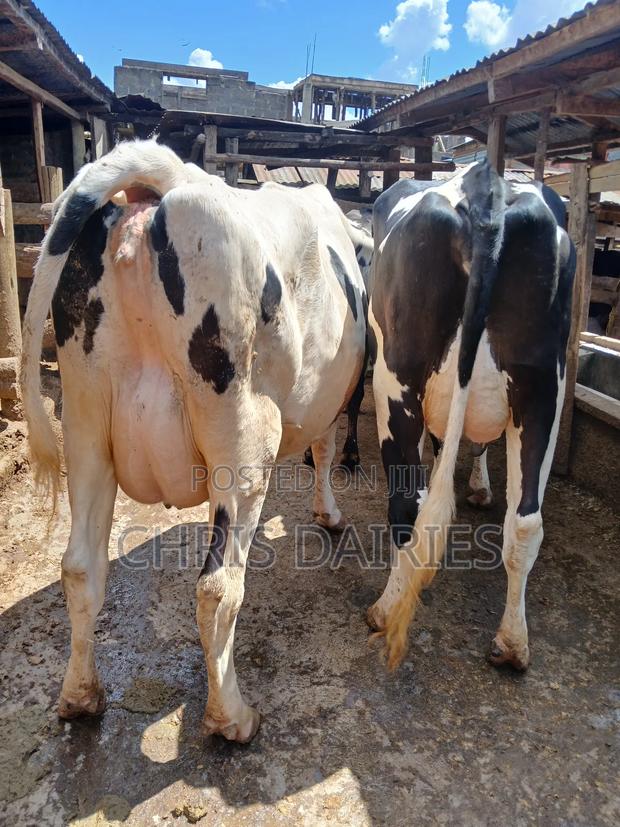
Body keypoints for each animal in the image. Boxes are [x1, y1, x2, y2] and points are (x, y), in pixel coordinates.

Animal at [20, 139, 366, 742]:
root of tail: (168, 184)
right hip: (245, 440)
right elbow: (324, 449)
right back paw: (232, 717)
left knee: (81, 569)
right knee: (218, 586)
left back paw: (81, 697)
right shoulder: (332, 397)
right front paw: (329, 513)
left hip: (86, 427)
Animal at [365, 162, 575, 672]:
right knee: (525, 521)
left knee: (408, 505)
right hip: (543, 388)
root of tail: (488, 191)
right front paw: (479, 487)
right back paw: (512, 642)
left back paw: (384, 609)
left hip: (397, 379)